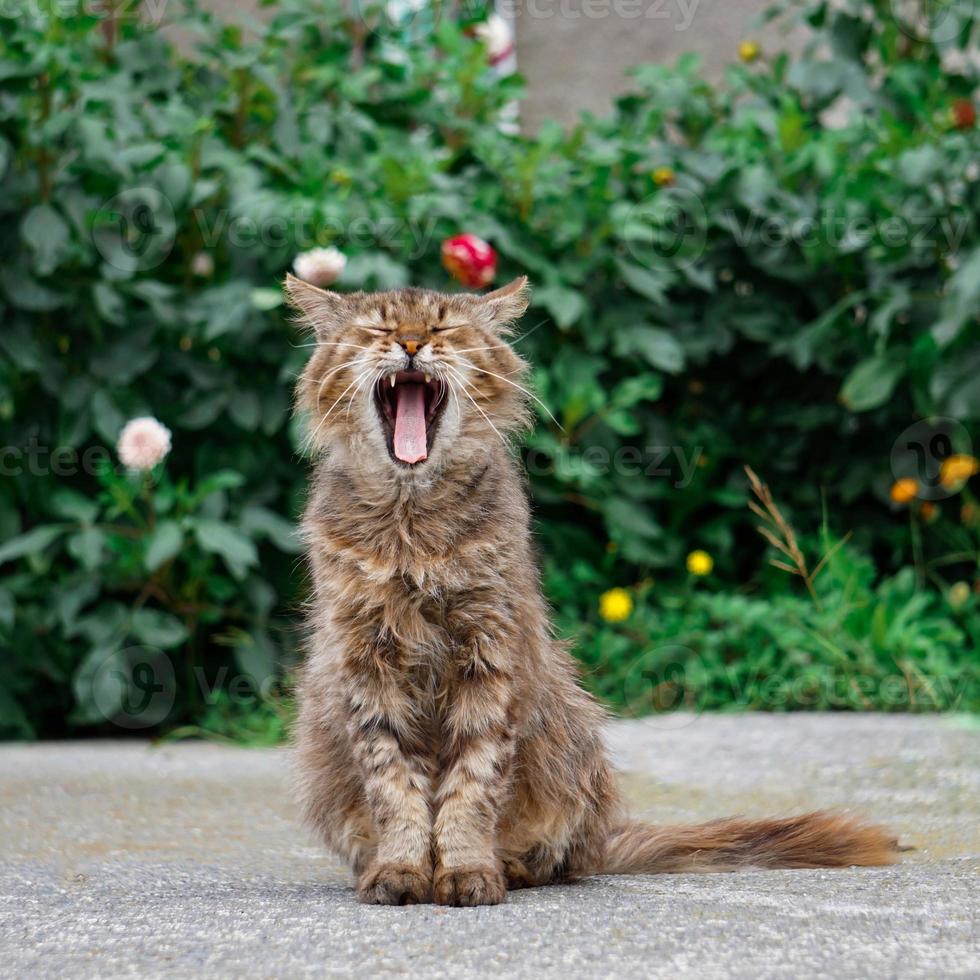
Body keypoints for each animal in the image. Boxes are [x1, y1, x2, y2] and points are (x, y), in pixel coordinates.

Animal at [288, 272, 900, 908]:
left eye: (442, 327)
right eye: (378, 329)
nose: (410, 343)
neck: (413, 523)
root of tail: (603, 839)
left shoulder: (492, 655)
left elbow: (472, 785)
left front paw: (466, 870)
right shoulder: (365, 662)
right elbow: (394, 787)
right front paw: (402, 868)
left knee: (559, 856)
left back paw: (511, 866)